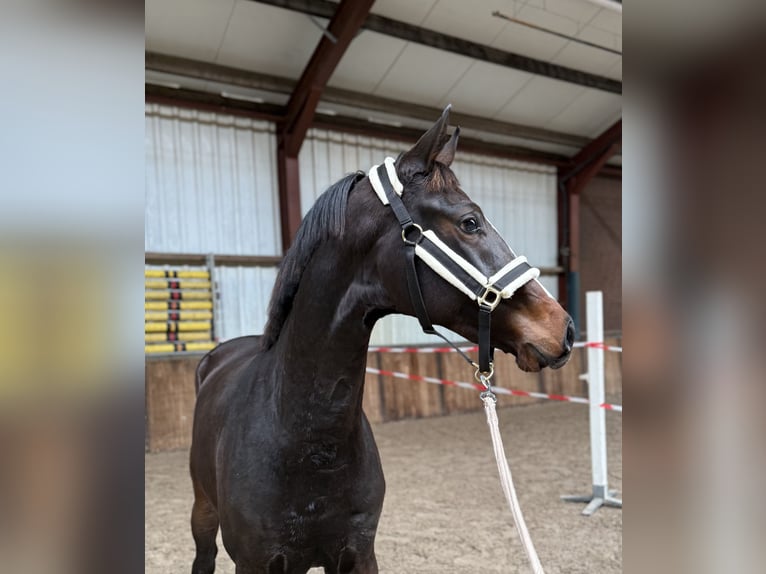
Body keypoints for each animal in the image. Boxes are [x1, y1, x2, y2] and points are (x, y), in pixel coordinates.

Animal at [189, 106, 574, 574]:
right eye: (470, 222)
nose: (563, 327)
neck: (306, 440)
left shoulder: (358, 555)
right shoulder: (255, 562)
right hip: (202, 513)